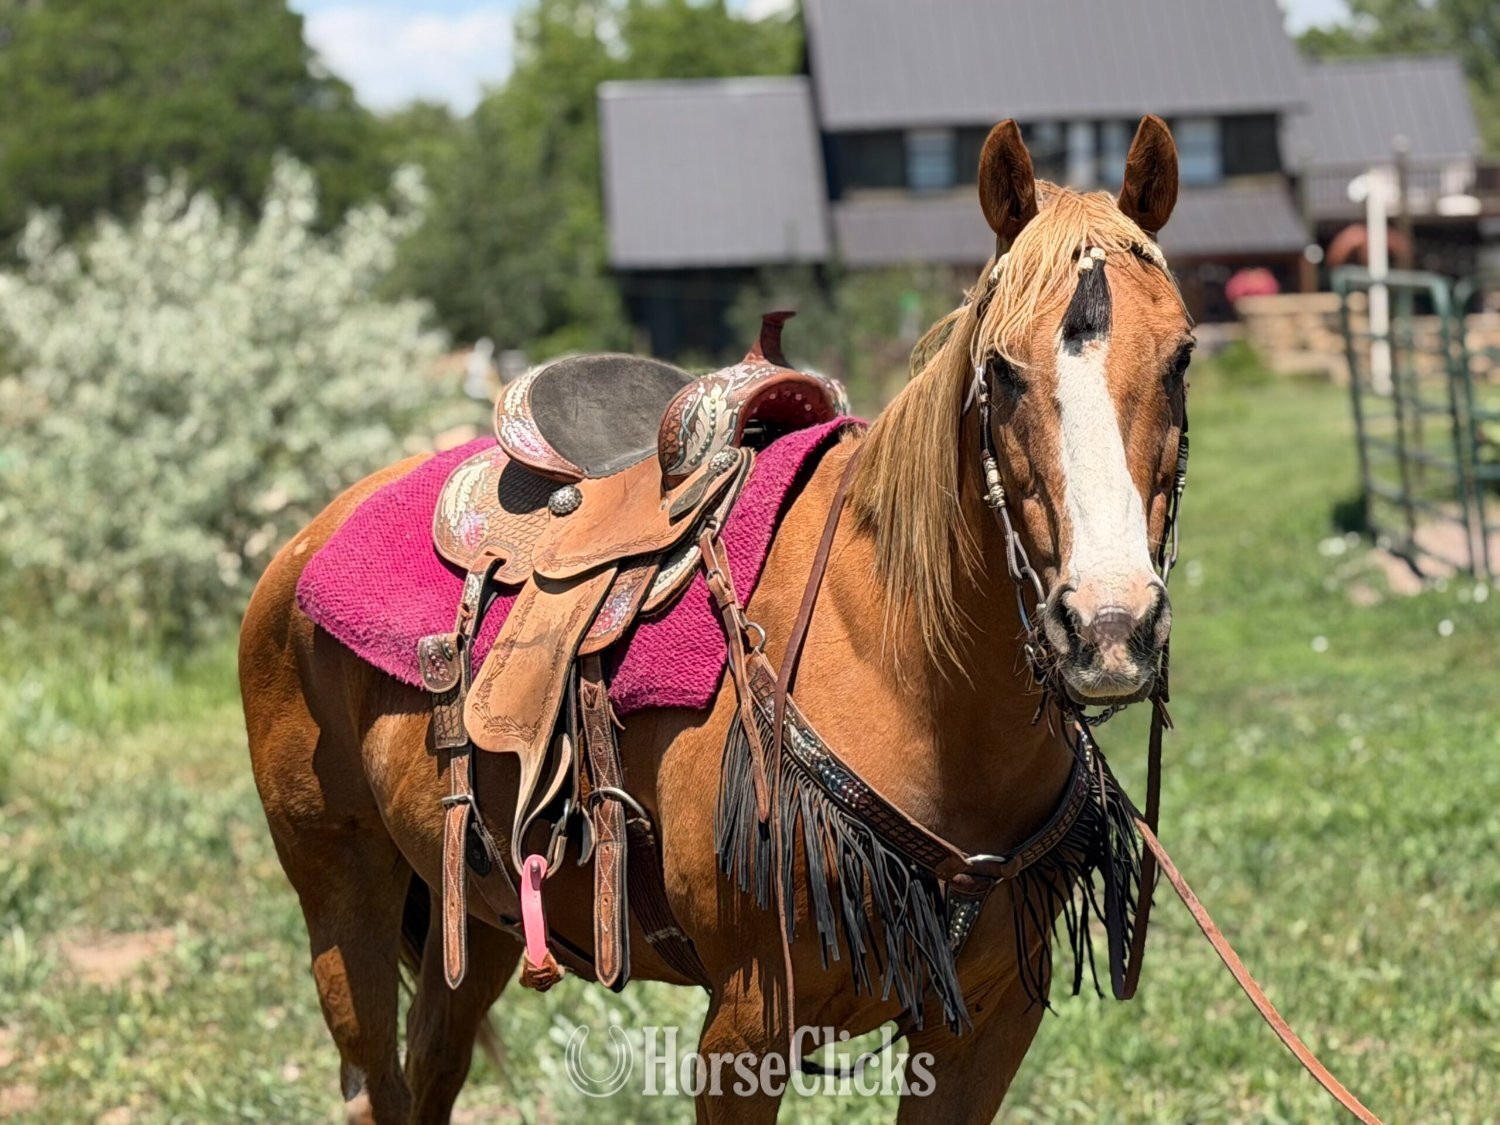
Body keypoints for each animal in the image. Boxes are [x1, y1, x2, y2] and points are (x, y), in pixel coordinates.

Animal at [240, 114, 1191, 1123]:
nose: (1109, 624)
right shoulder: (747, 1025)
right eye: (1002, 371)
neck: (915, 681)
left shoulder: (988, 1025)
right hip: (342, 896)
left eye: (1181, 357)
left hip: (479, 912)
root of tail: (305, 540)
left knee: (431, 1070)